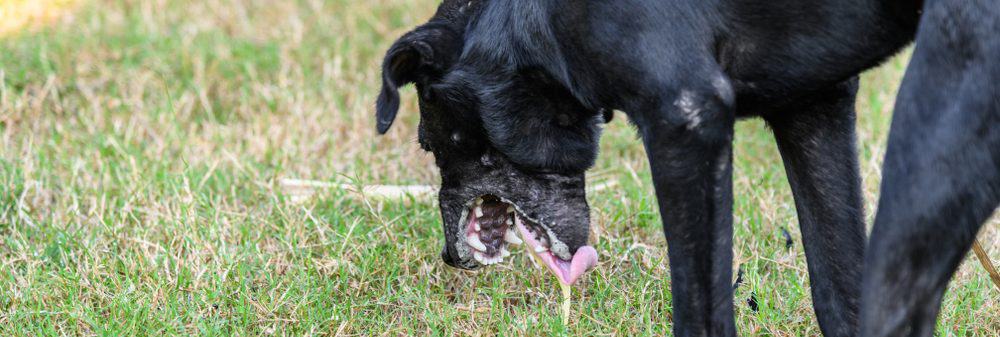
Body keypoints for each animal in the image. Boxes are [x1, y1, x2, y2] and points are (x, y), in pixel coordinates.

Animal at [376, 1, 1000, 334]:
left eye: (428, 140)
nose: (449, 256)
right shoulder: (814, 108)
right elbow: (839, 291)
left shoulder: (686, 121)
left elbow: (701, 314)